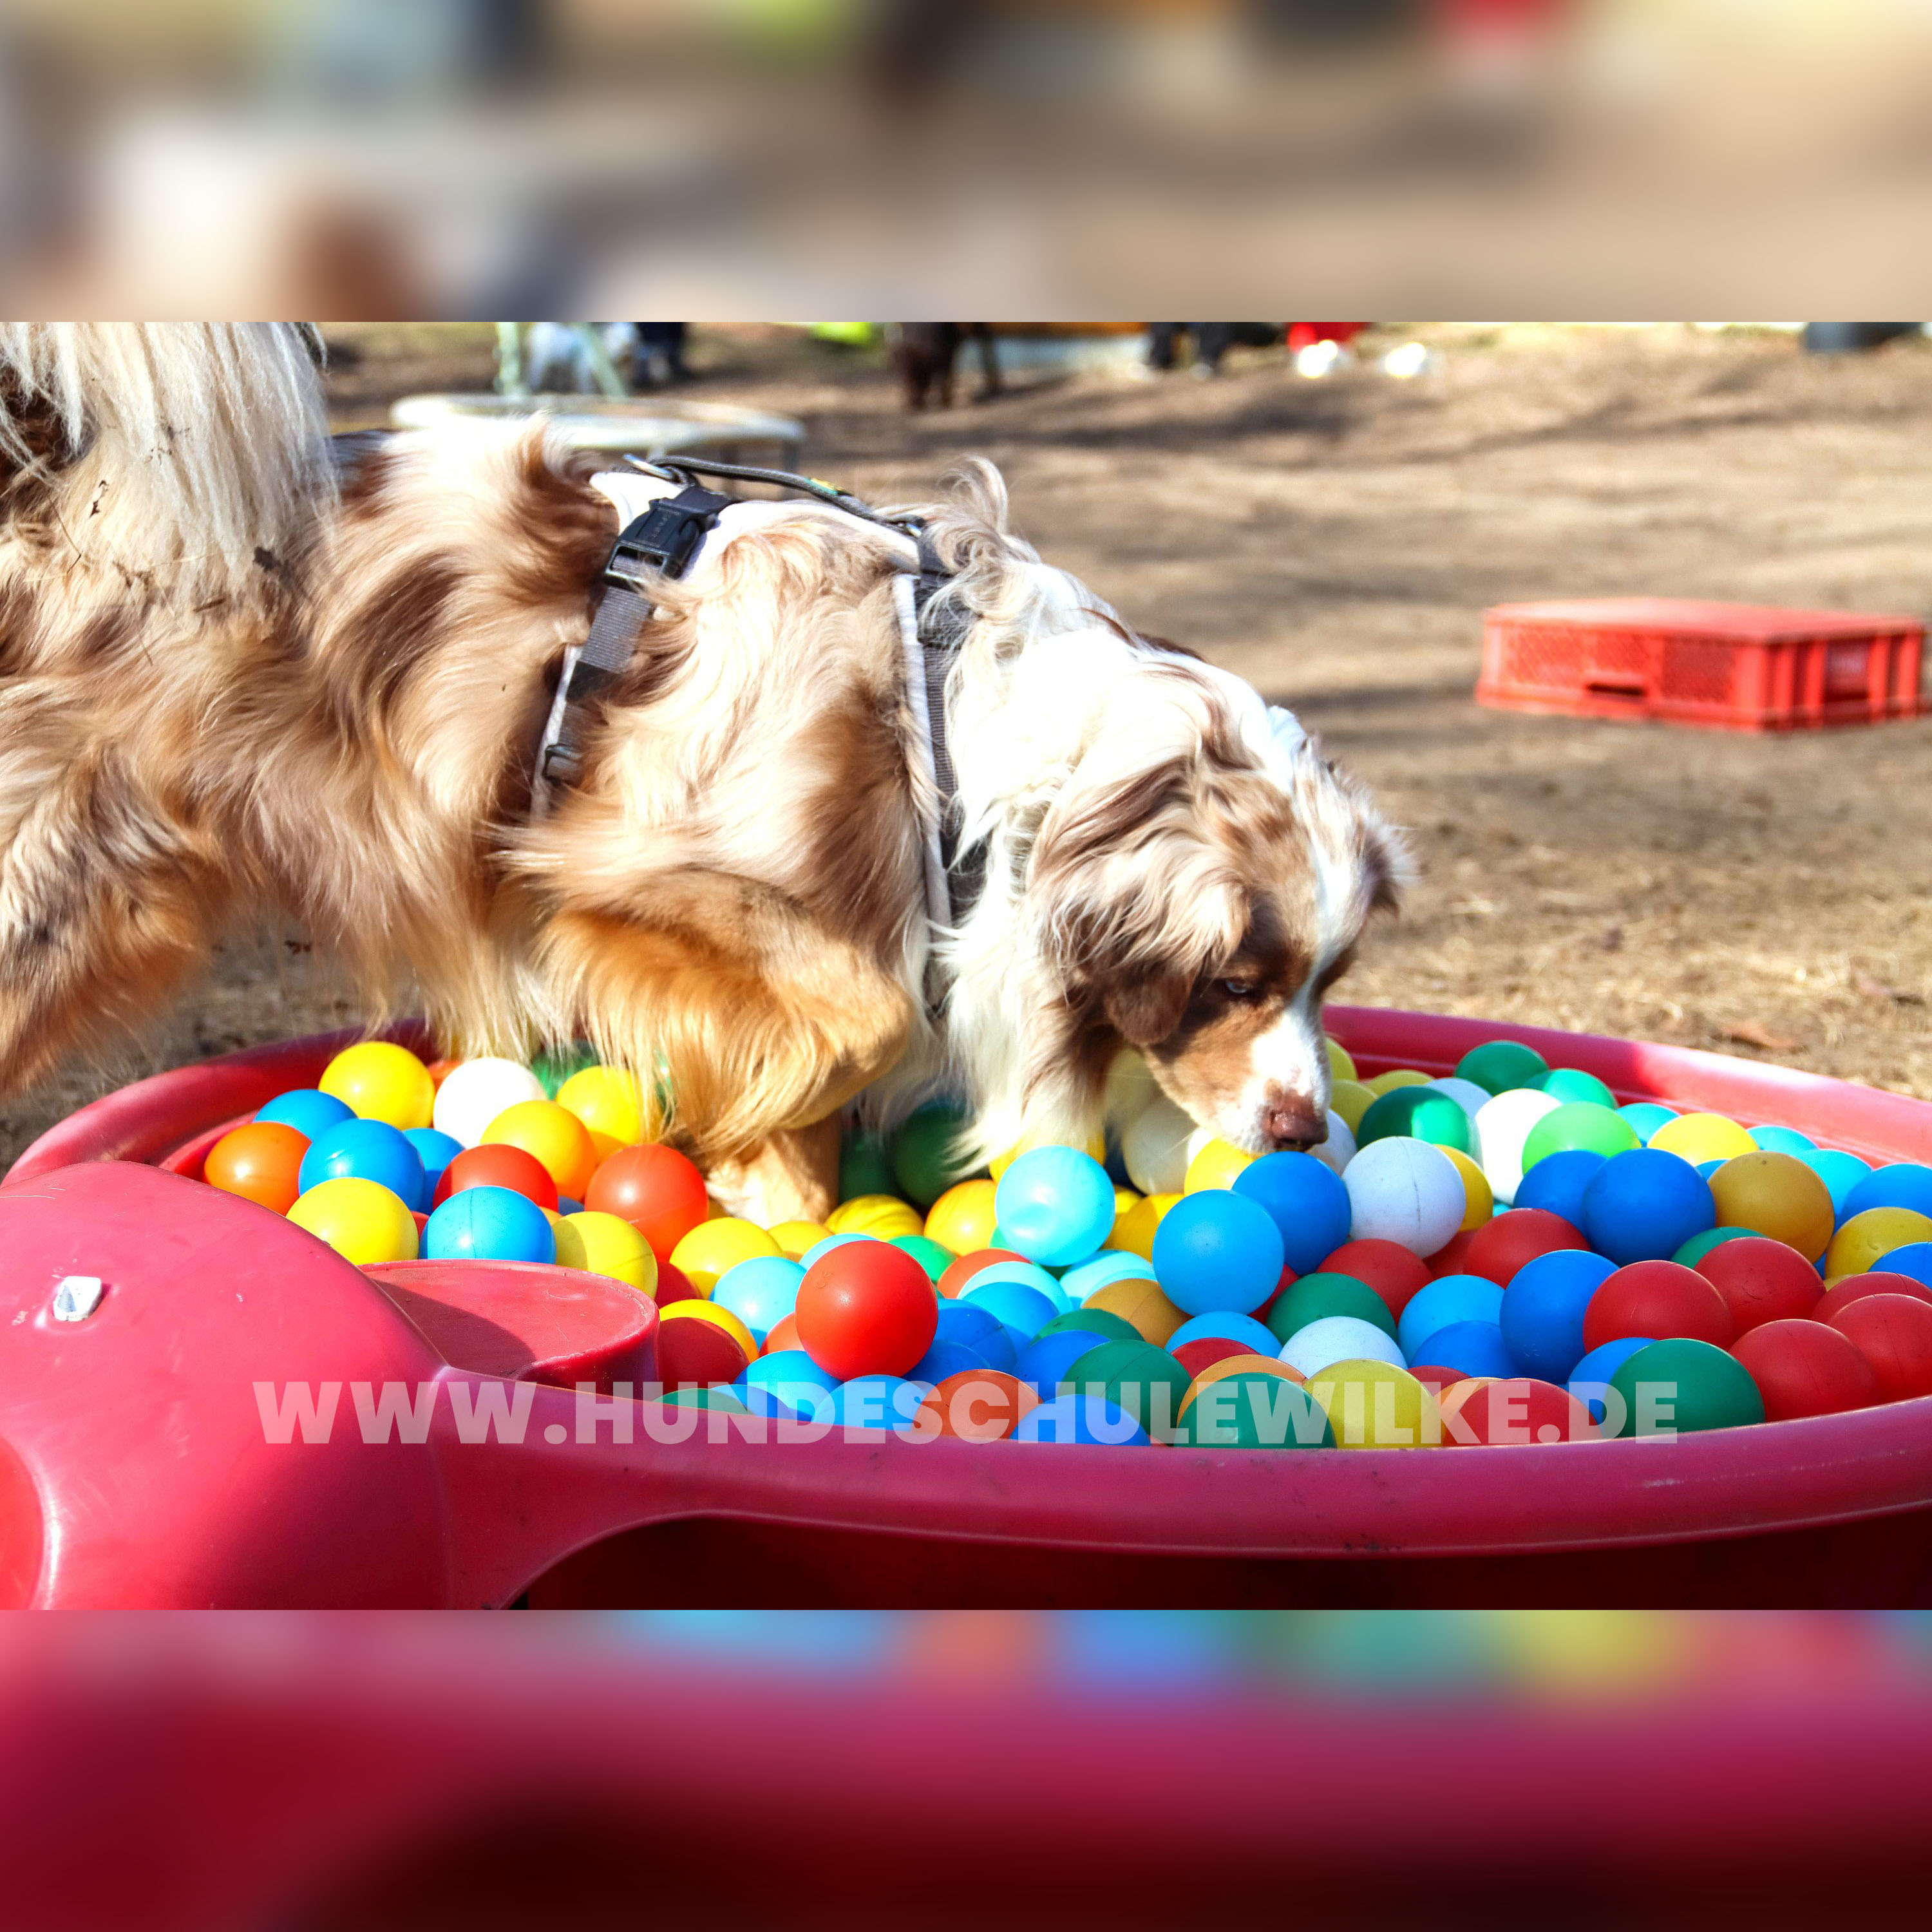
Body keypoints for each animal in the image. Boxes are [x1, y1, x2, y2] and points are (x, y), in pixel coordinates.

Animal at [0, 324, 1405, 1223]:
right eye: (1235, 983)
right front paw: (754, 1171)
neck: (960, 732)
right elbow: (866, 1017)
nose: (1302, 1132)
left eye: (1329, 984)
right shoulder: (620, 876)